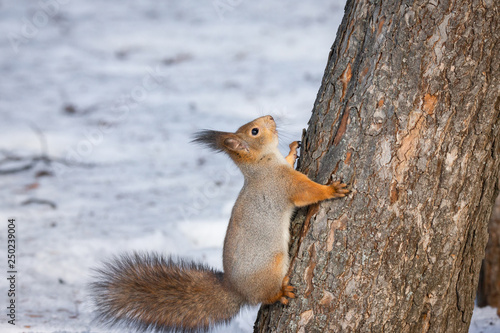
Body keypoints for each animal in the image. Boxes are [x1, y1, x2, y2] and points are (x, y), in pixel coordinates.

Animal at [91, 115, 348, 332]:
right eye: (254, 131)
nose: (271, 117)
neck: (261, 166)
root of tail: (235, 289)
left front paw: (292, 149)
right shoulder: (283, 183)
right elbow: (307, 192)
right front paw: (331, 190)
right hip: (270, 267)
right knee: (265, 296)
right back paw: (281, 292)